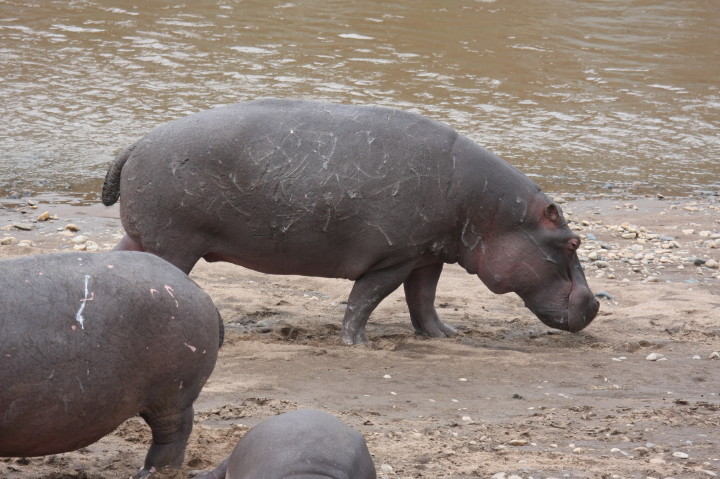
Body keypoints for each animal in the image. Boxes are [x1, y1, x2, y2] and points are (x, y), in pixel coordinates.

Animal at [102, 99, 599, 344]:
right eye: (573, 242)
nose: (596, 304)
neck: (493, 212)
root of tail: (137, 143)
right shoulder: (395, 257)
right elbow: (366, 299)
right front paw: (359, 344)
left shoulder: (429, 255)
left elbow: (424, 301)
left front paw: (445, 335)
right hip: (174, 244)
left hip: (143, 236)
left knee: (120, 262)